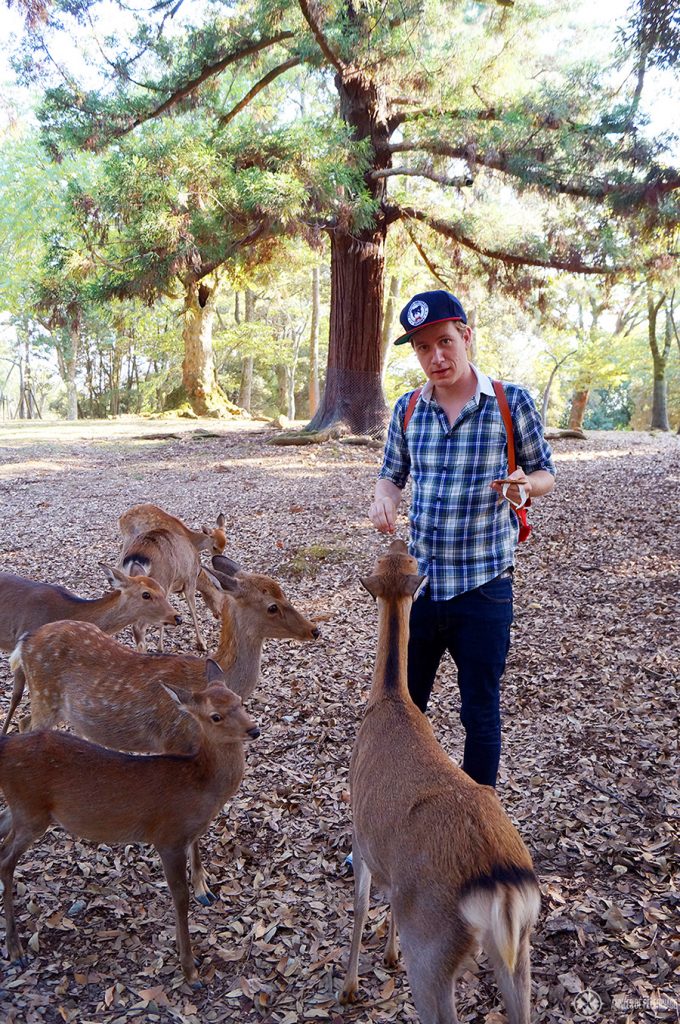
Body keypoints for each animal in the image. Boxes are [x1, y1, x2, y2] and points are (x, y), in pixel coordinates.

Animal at [0, 679, 259, 983]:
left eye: (238, 699)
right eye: (215, 716)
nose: (253, 730)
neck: (200, 786)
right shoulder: (168, 837)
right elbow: (180, 896)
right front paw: (189, 968)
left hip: (24, 810)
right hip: (31, 812)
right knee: (6, 860)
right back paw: (15, 949)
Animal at [5, 561, 319, 905]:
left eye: (282, 591)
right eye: (272, 606)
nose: (314, 630)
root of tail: (24, 643)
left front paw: (203, 882)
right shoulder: (175, 741)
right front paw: (201, 888)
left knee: (23, 723)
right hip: (45, 697)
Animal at [119, 505, 228, 655]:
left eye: (225, 543)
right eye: (215, 547)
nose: (219, 615)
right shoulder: (188, 581)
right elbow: (192, 610)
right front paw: (201, 644)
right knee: (138, 627)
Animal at [342, 540, 540, 1024]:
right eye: (401, 559)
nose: (400, 541)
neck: (390, 699)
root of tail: (502, 885)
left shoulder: (359, 828)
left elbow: (360, 903)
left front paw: (349, 987)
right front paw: (388, 954)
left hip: (432, 951)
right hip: (519, 948)